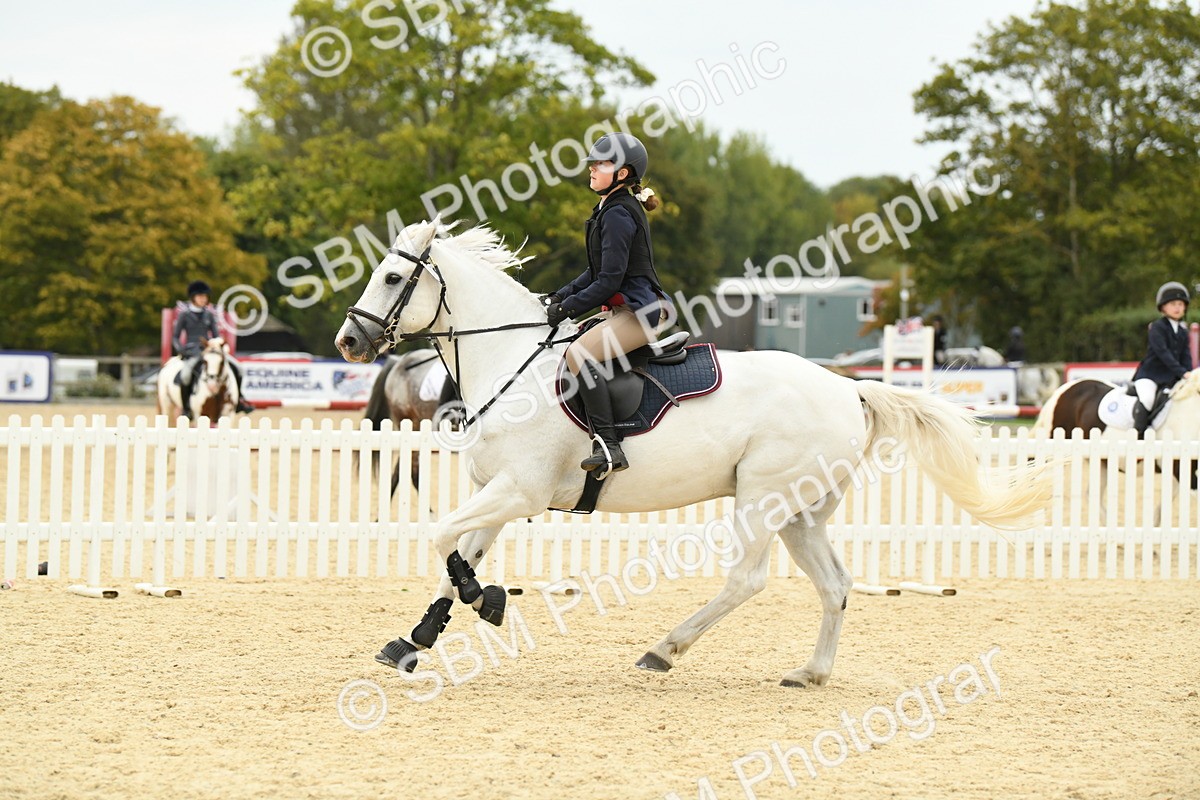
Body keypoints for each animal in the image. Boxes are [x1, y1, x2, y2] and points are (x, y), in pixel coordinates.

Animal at [334, 220, 1052, 688]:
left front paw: (483, 601)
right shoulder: (499, 492)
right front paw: (417, 637)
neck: (511, 361)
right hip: (802, 512)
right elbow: (456, 551)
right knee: (836, 584)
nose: (348, 340)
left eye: (393, 276)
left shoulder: (521, 490)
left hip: (763, 498)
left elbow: (441, 538)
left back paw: (664, 650)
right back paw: (812, 672)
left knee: (747, 580)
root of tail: (848, 388)